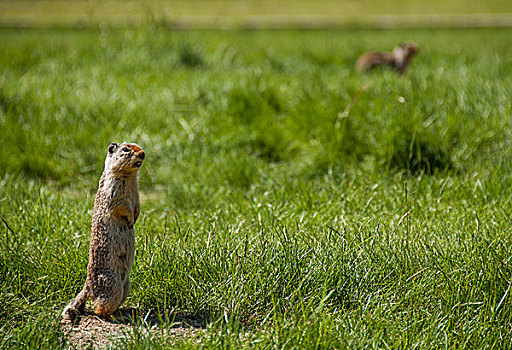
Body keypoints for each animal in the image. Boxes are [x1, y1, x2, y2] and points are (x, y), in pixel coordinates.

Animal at [63, 142, 146, 320]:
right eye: (125, 149)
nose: (143, 153)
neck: (129, 176)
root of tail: (87, 286)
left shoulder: (136, 191)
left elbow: (137, 205)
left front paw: (136, 218)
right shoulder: (114, 190)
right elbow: (121, 206)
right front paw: (130, 221)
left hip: (126, 286)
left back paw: (124, 311)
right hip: (112, 285)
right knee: (100, 309)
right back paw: (116, 316)